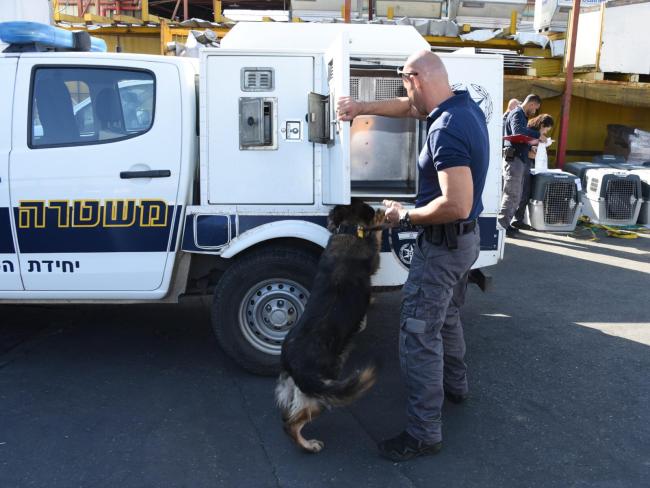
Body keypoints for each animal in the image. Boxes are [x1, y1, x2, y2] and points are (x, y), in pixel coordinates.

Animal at [274, 200, 384, 452]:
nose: (378, 207)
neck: (348, 230)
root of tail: (293, 363)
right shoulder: (373, 260)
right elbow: (377, 238)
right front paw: (383, 218)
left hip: (296, 390)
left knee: (287, 417)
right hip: (321, 395)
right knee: (292, 424)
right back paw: (309, 445)